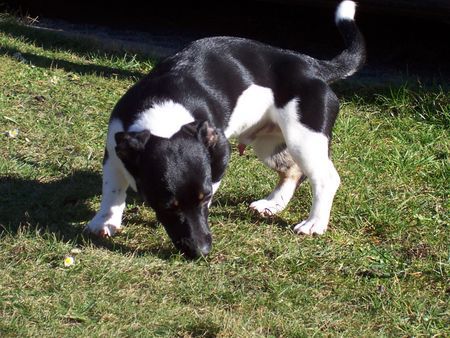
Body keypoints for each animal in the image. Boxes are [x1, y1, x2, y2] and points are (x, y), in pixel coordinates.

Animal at [85, 1, 366, 258]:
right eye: (167, 206)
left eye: (206, 197)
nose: (202, 251)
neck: (163, 111)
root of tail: (311, 66)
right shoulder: (115, 149)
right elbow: (111, 190)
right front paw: (104, 222)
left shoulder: (219, 151)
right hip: (270, 145)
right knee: (292, 172)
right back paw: (272, 204)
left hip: (303, 139)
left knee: (325, 178)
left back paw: (314, 223)